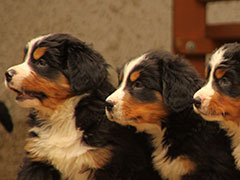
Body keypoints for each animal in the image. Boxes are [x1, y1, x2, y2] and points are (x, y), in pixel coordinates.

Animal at [4, 33, 159, 180]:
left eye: (42, 62)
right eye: (24, 59)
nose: (7, 74)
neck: (62, 117)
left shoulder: (107, 164)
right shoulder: (39, 159)